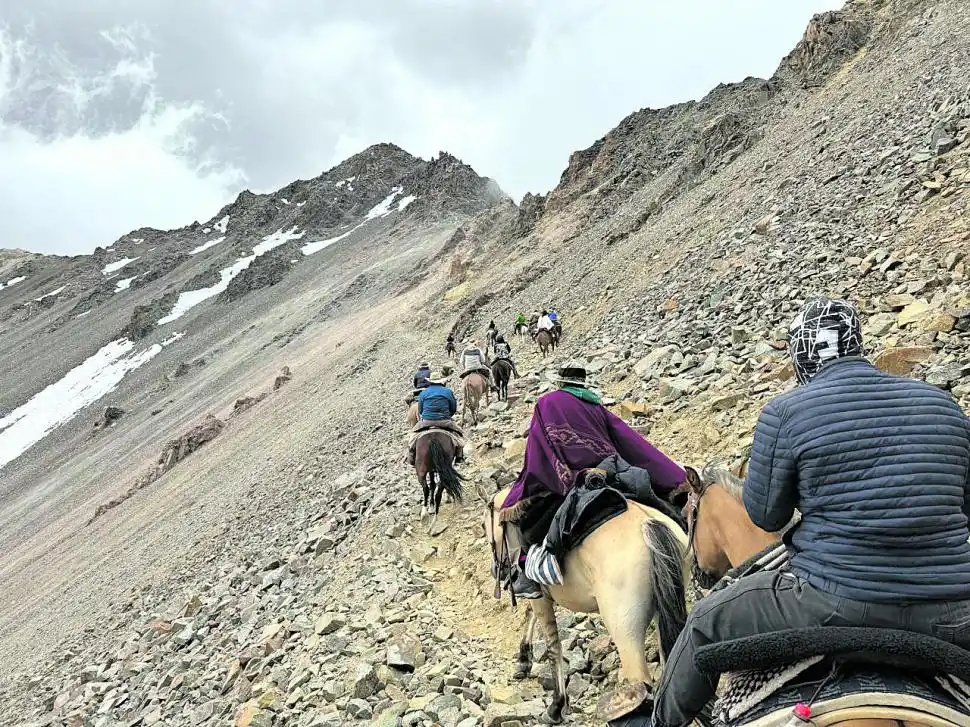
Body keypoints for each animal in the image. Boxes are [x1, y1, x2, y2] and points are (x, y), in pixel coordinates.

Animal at [486, 486, 690, 724]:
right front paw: (523, 660)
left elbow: (552, 646)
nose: (495, 569)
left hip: (625, 631)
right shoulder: (540, 594)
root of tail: (648, 526)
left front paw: (556, 707)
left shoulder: (539, 596)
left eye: (484, 526)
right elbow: (530, 615)